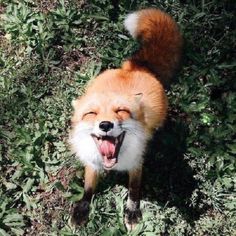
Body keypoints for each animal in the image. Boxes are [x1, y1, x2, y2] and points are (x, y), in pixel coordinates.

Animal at [68, 7, 183, 230]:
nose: (105, 124)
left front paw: (132, 213)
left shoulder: (137, 162)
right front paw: (82, 210)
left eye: (121, 111)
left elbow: (134, 189)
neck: (114, 163)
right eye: (91, 114)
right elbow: (88, 189)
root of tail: (134, 67)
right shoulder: (92, 163)